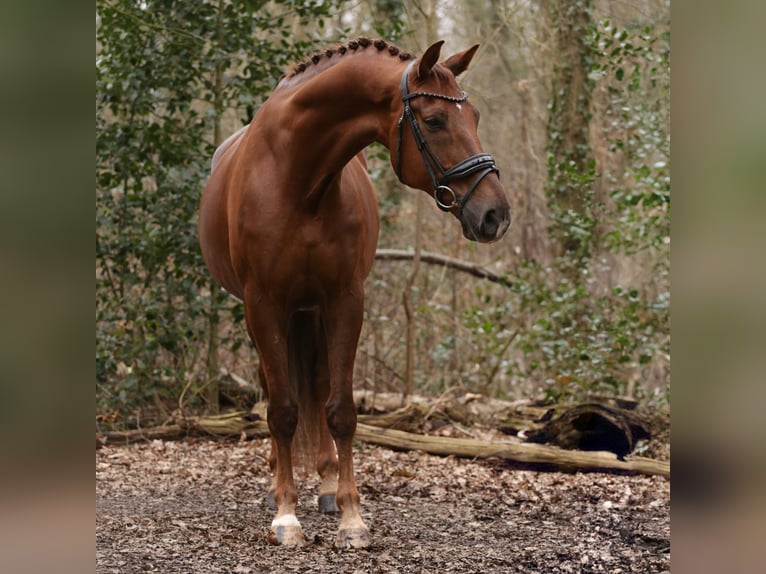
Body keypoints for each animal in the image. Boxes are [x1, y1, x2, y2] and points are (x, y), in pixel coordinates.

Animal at [200, 36, 510, 548]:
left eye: (477, 117)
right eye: (435, 120)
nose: (495, 216)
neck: (298, 179)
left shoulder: (345, 300)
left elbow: (340, 408)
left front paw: (351, 517)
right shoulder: (263, 304)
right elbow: (282, 410)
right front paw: (286, 514)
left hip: (312, 310)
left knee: (319, 382)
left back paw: (325, 484)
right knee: (274, 387)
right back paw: (276, 482)